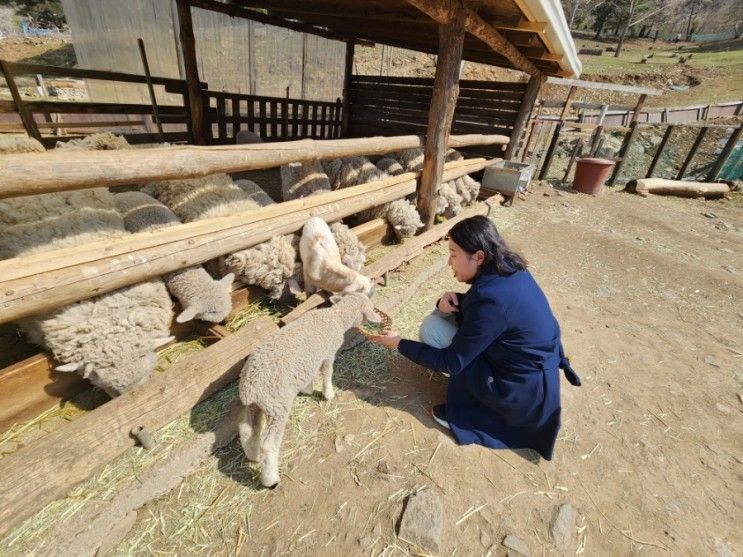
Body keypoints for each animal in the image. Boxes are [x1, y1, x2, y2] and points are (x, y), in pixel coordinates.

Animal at [237, 292, 380, 486]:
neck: (336, 317)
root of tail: (249, 388)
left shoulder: (310, 360)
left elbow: (309, 375)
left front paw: (307, 388)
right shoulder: (328, 354)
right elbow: (327, 373)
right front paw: (328, 394)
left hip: (257, 405)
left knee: (247, 429)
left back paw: (253, 456)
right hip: (277, 405)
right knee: (269, 445)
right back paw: (270, 479)